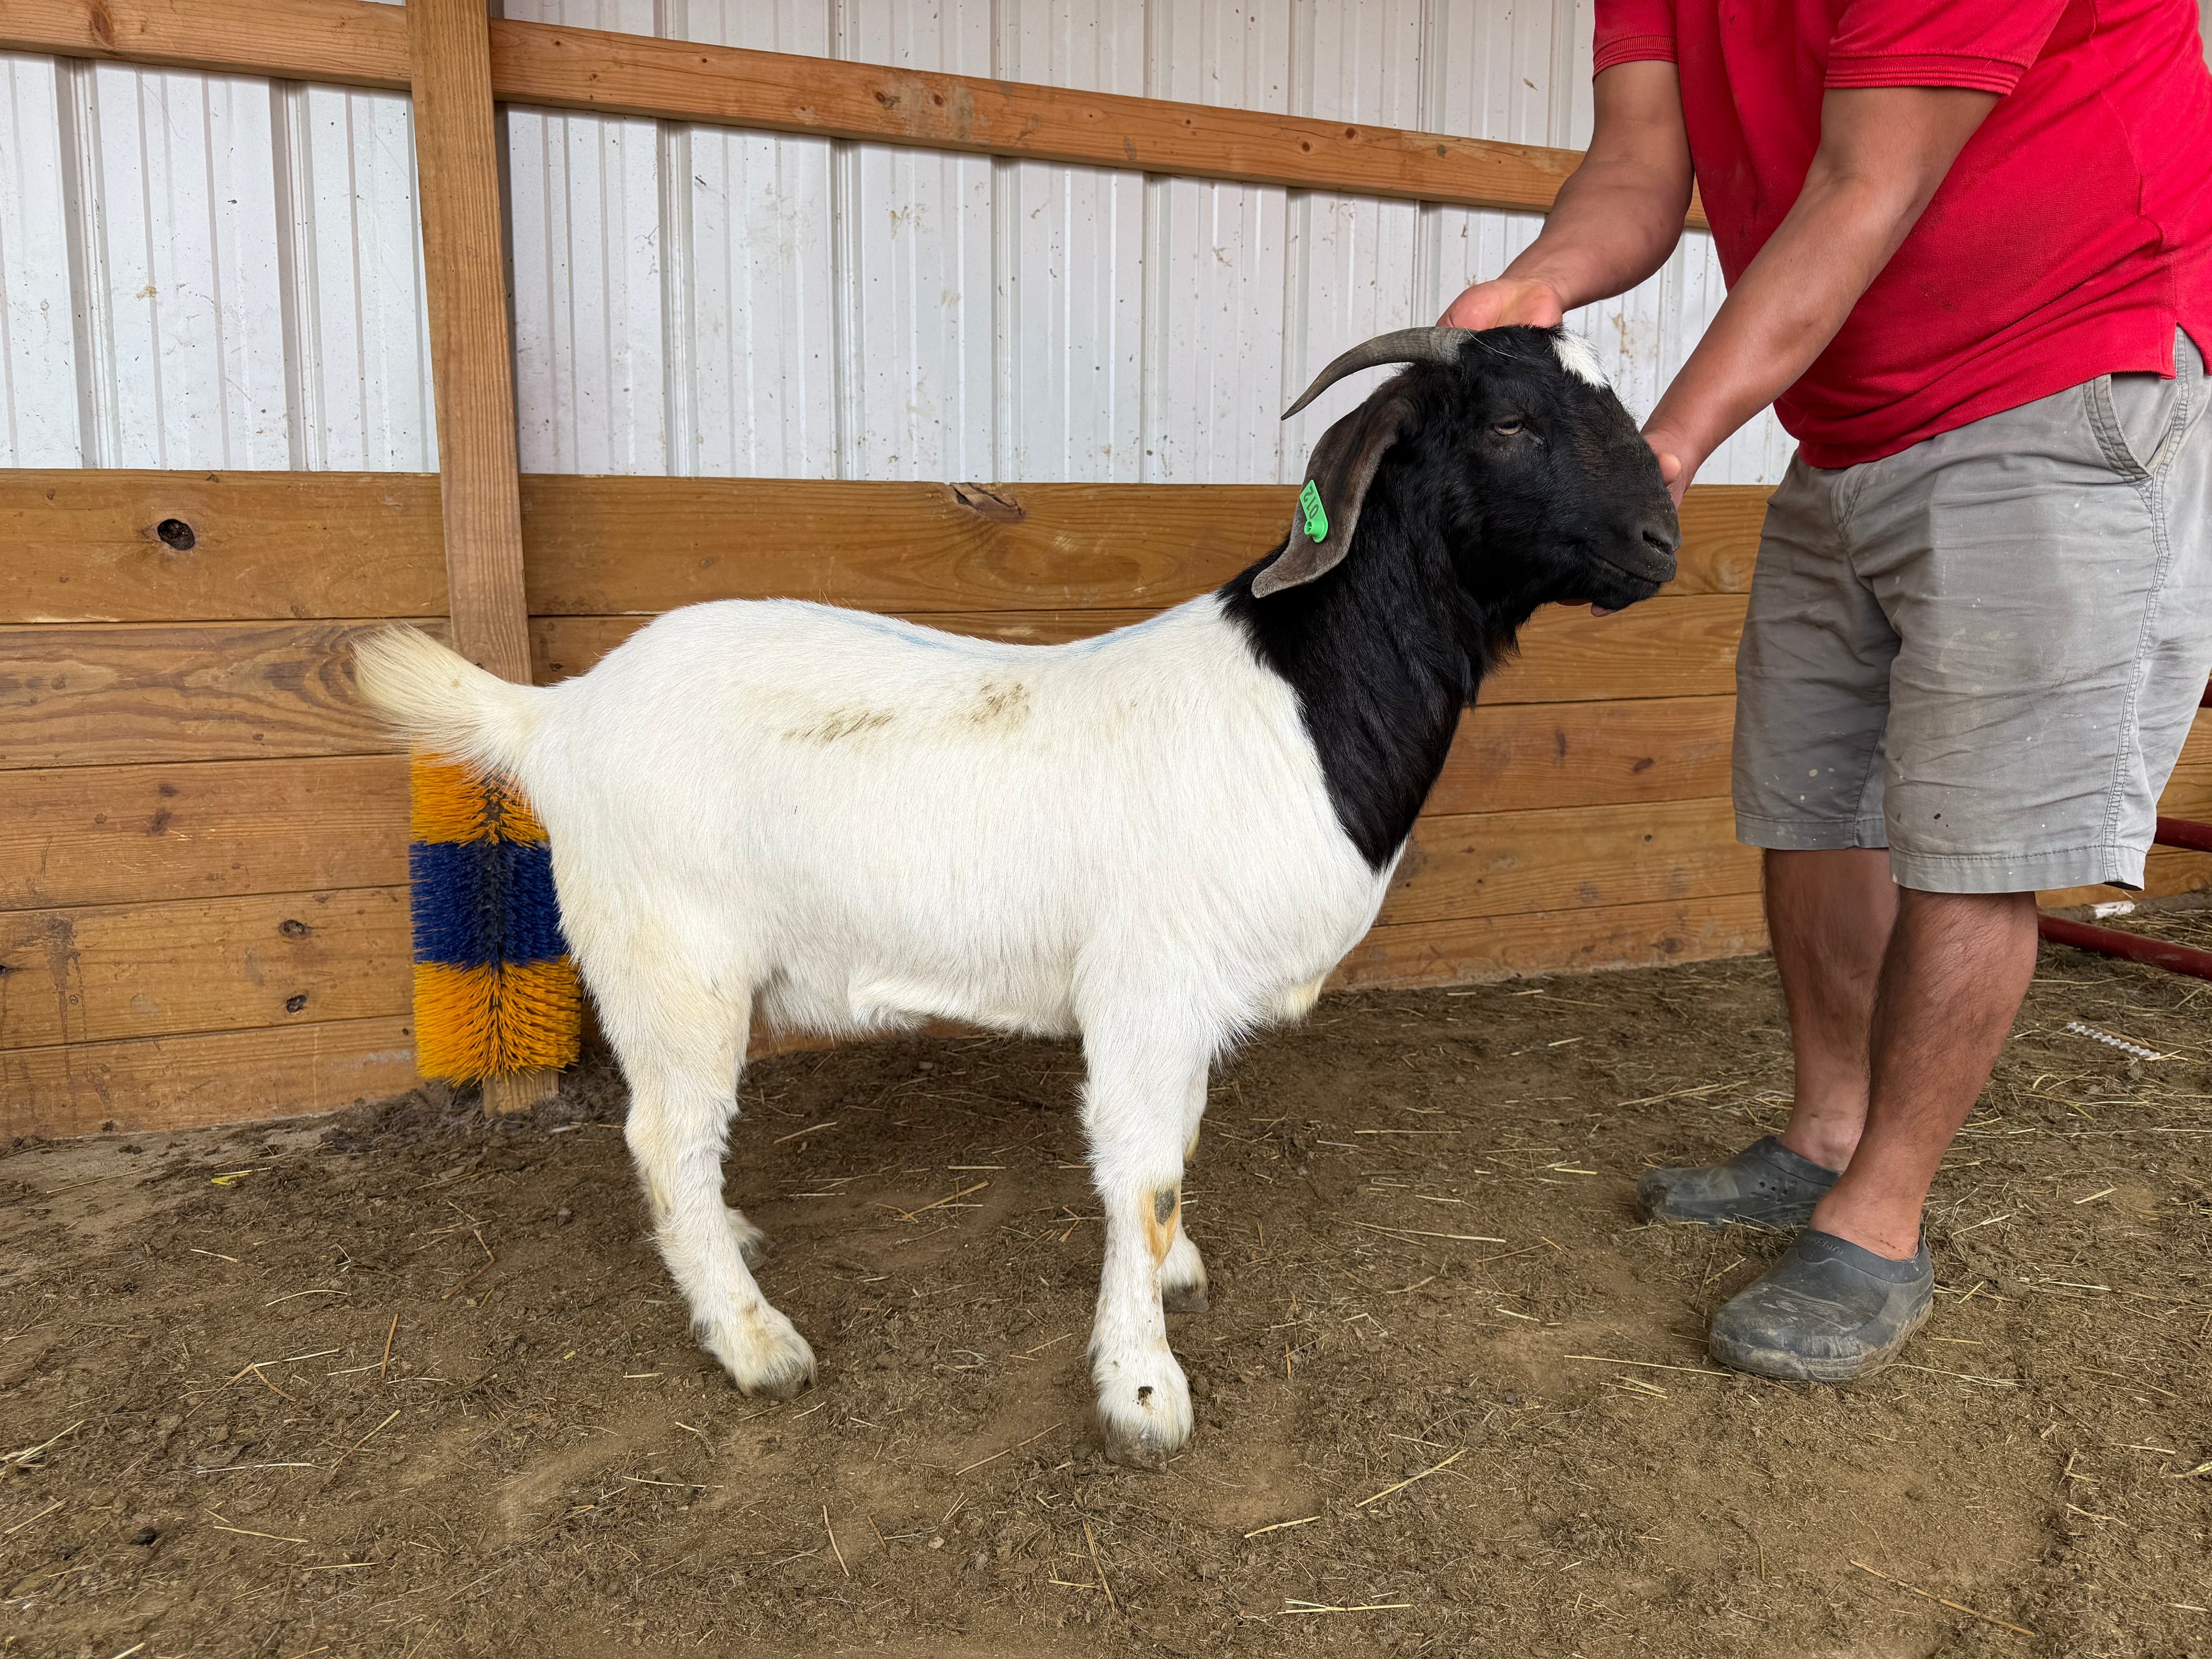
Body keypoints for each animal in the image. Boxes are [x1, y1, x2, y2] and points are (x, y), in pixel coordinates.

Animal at [355, 325, 1679, 1466]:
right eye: (1509, 420)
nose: (1663, 539)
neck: (1295, 705)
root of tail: (555, 714)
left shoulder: (1184, 1005)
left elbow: (1179, 1145)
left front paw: (1175, 1279)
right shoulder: (1146, 987)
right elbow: (1143, 1177)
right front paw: (1142, 1388)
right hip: (671, 960)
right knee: (663, 1133)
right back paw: (752, 1337)